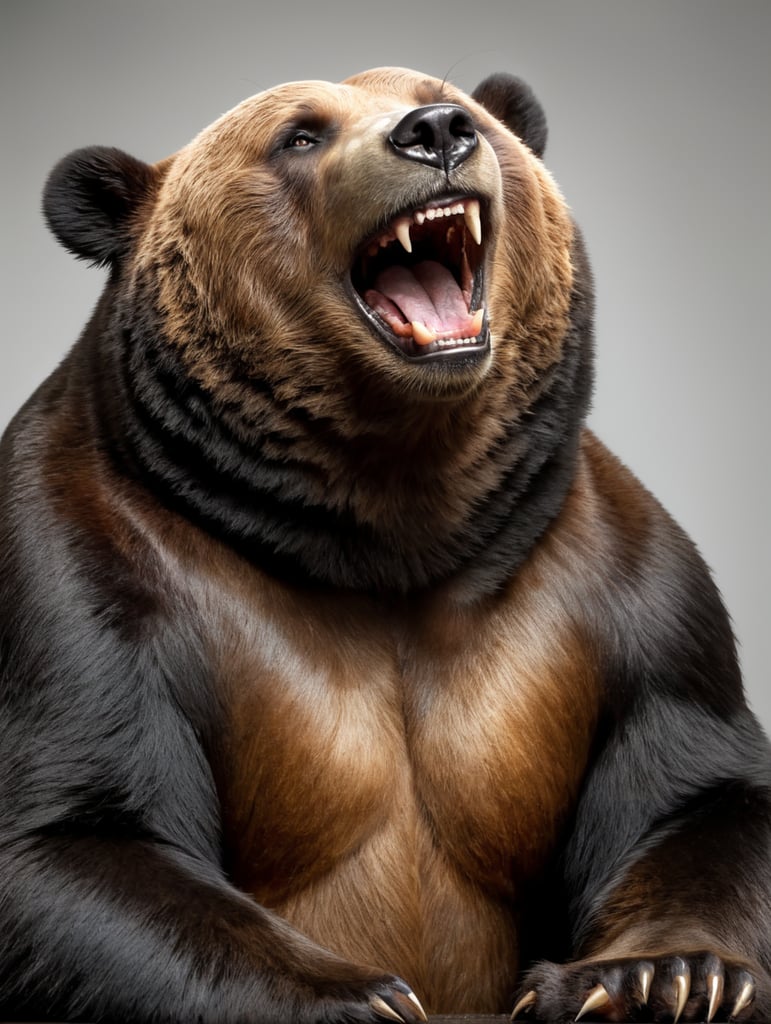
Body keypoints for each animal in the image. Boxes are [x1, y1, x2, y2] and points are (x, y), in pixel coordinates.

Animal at [0, 65, 769, 1024]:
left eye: (457, 102)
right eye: (299, 134)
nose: (434, 131)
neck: (389, 531)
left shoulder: (614, 583)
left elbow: (696, 797)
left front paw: (662, 976)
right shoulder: (83, 568)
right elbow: (79, 829)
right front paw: (365, 996)